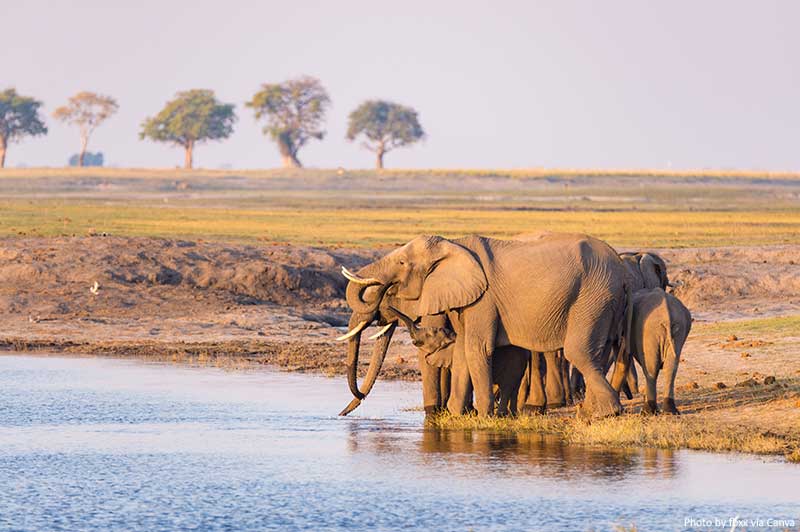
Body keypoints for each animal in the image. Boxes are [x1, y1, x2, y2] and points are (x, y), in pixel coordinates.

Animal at [338, 233, 632, 420]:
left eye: (401, 263)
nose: (342, 414)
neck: (454, 245)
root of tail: (622, 268)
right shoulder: (467, 299)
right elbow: (461, 351)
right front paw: (456, 414)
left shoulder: (484, 299)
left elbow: (476, 348)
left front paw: (481, 416)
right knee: (597, 352)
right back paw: (590, 411)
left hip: (593, 295)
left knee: (578, 351)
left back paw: (607, 412)